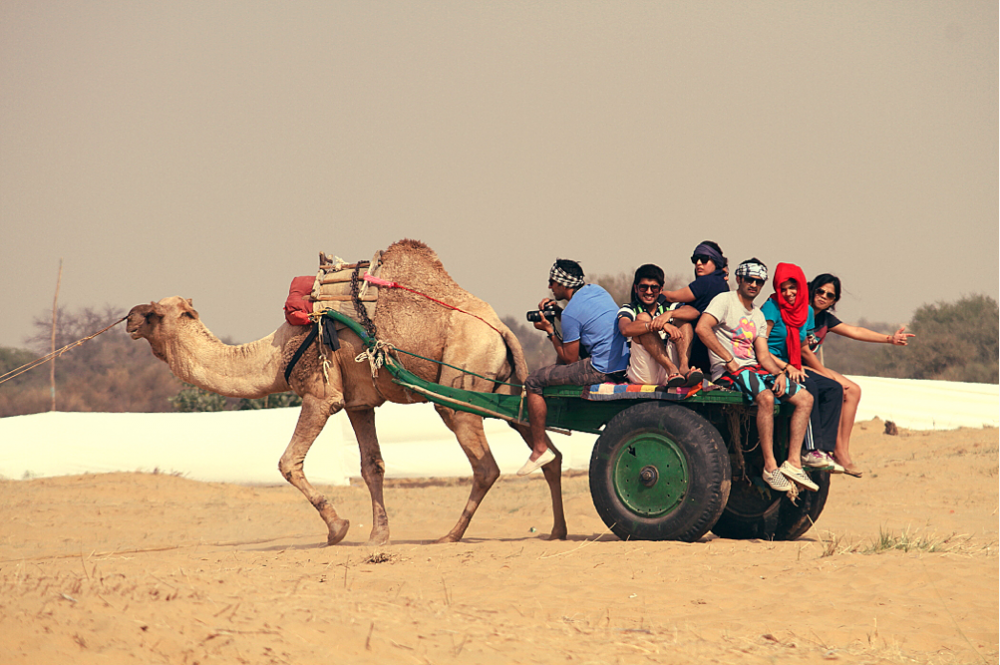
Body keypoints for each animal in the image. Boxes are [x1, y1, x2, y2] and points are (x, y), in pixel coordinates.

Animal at [126, 239, 566, 546]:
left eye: (155, 314)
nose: (129, 317)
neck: (276, 352)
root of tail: (501, 329)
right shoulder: (359, 403)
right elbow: (372, 466)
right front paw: (377, 536)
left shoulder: (321, 395)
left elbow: (288, 462)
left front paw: (337, 528)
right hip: (504, 388)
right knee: (548, 452)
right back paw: (557, 530)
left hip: (460, 388)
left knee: (486, 465)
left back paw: (451, 535)